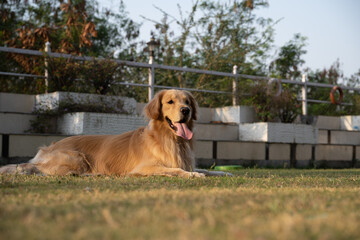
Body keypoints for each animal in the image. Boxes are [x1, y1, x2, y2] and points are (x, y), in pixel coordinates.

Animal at [0, 89, 229, 177]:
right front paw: (193, 175)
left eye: (187, 101)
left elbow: (210, 170)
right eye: (170, 101)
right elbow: (177, 170)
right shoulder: (144, 168)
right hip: (76, 158)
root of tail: (46, 149)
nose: (186, 110)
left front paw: (224, 172)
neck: (170, 139)